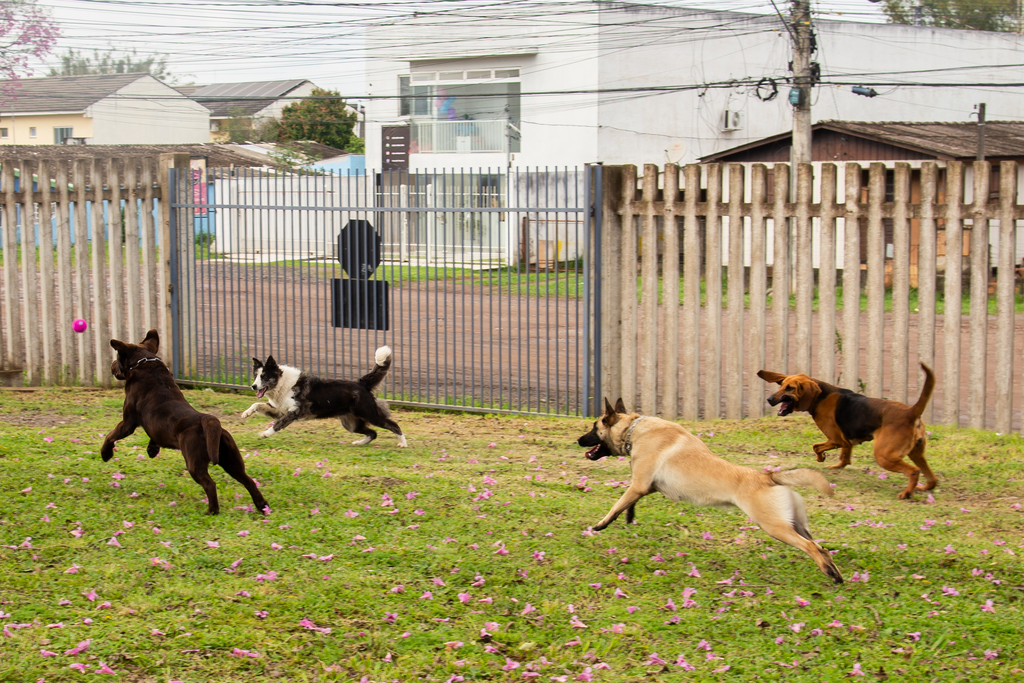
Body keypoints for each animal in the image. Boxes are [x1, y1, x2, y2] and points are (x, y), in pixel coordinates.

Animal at [101, 329, 269, 516]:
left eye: (117, 357)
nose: (112, 365)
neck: (145, 362)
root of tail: (208, 420)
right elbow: (154, 435)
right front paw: (152, 449)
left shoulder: (128, 422)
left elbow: (110, 435)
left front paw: (105, 454)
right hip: (230, 459)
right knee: (248, 481)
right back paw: (262, 506)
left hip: (195, 462)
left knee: (210, 484)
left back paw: (212, 511)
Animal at [243, 346, 407, 447]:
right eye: (255, 376)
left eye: (264, 376)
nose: (253, 386)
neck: (283, 383)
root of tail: (361, 383)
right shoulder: (279, 410)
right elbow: (257, 405)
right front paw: (246, 413)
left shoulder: (295, 411)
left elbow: (277, 424)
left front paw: (265, 434)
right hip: (351, 424)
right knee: (373, 433)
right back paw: (359, 443)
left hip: (369, 414)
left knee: (393, 425)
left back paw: (403, 443)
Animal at [577, 399, 843, 584]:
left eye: (594, 427)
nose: (578, 440)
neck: (633, 429)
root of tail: (767, 476)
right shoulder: (646, 486)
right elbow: (629, 502)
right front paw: (629, 516)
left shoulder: (639, 484)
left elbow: (616, 505)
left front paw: (600, 525)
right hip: (795, 524)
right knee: (821, 547)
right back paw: (835, 572)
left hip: (775, 527)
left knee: (811, 547)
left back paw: (829, 573)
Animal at [757, 364, 937, 500]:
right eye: (781, 385)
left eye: (790, 388)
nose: (769, 399)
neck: (821, 397)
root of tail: (910, 412)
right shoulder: (845, 440)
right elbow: (845, 455)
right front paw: (838, 465)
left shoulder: (836, 439)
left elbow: (816, 446)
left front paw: (821, 457)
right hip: (916, 454)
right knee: (932, 478)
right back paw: (923, 487)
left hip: (884, 456)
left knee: (914, 471)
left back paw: (906, 493)